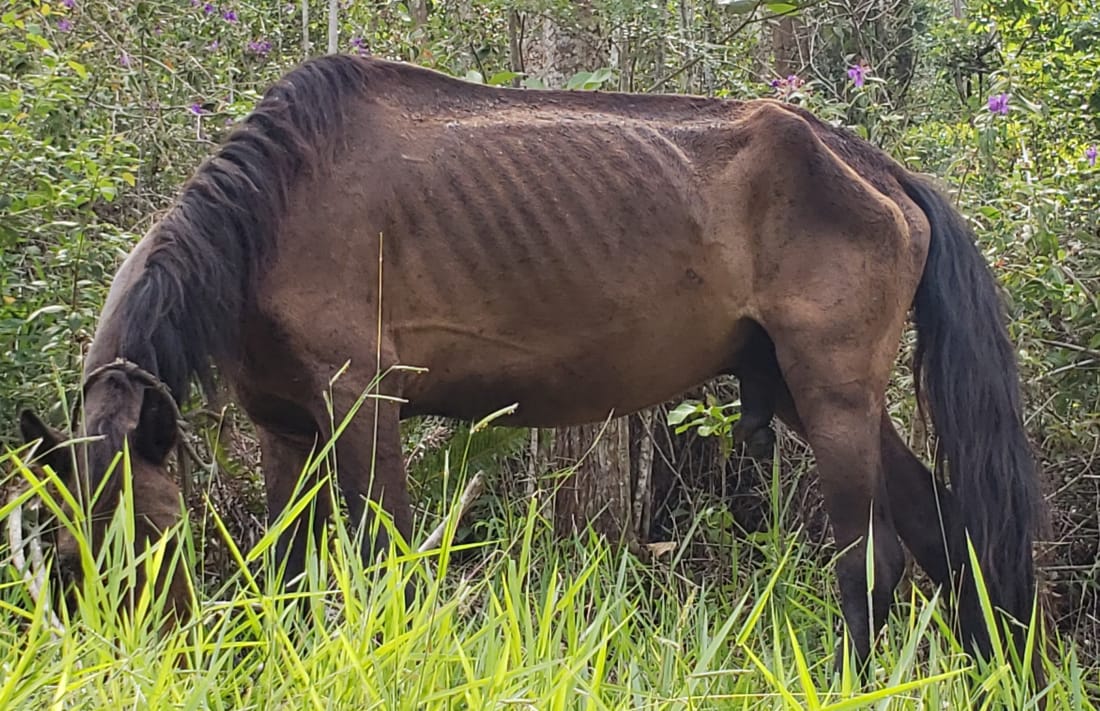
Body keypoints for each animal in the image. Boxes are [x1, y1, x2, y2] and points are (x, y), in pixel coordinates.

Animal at [21, 54, 1042, 686]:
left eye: (152, 542)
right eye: (63, 561)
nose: (132, 661)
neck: (267, 213)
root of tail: (873, 164)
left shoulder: (361, 406)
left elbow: (387, 564)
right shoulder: (285, 426)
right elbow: (295, 571)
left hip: (832, 394)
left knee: (871, 558)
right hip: (809, 392)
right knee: (946, 533)